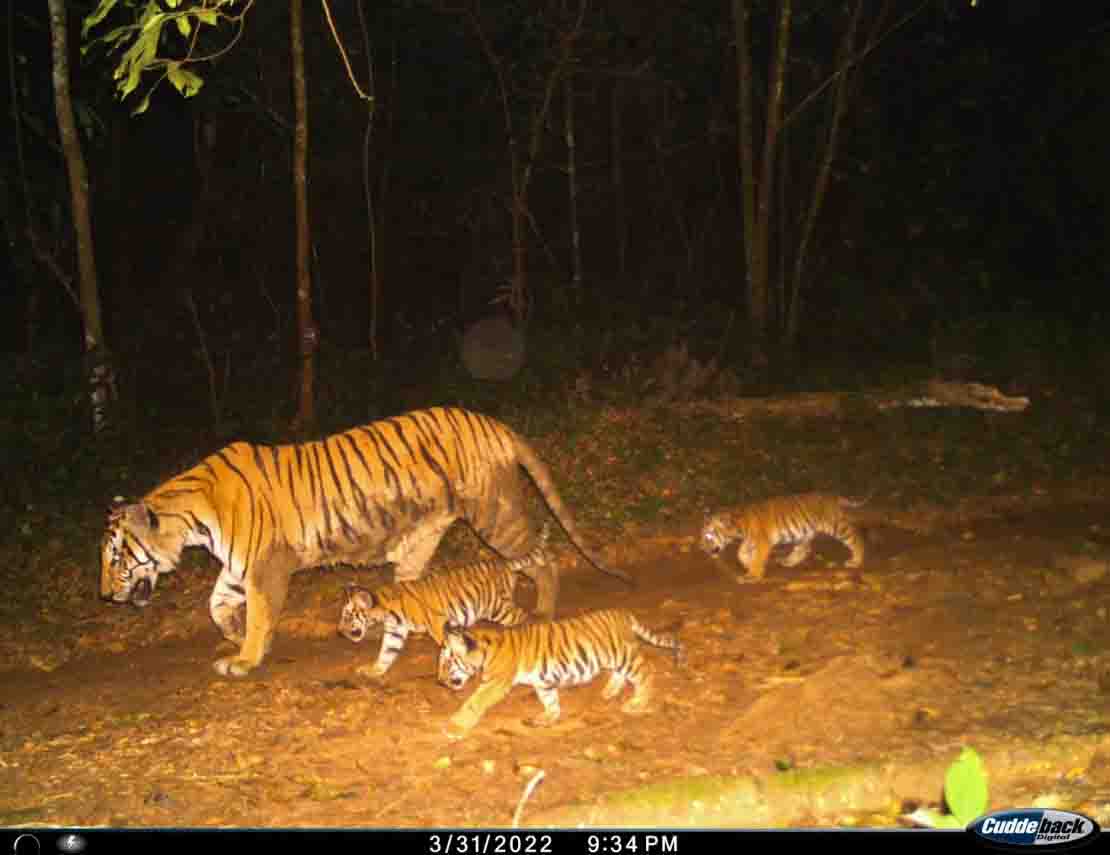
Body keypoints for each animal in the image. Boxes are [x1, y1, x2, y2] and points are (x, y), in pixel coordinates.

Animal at [99, 404, 630, 675]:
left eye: (115, 557)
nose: (104, 596)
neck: (193, 518)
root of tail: (494, 422)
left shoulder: (266, 566)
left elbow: (258, 614)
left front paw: (246, 657)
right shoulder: (237, 565)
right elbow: (216, 604)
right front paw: (231, 636)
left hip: (494, 514)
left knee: (541, 557)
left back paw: (542, 610)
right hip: (422, 536)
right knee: (413, 592)